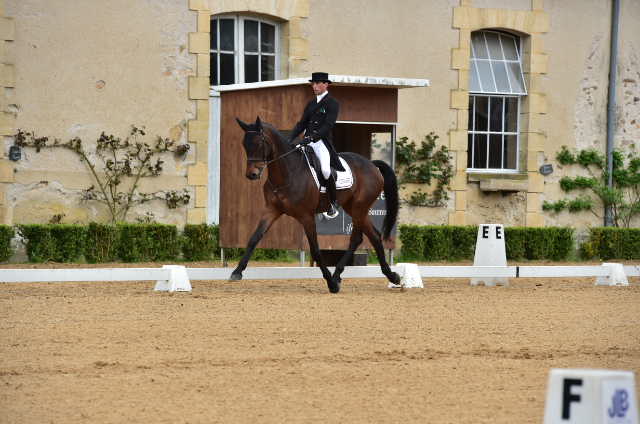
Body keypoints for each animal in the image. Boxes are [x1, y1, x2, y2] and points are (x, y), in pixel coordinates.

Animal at [230, 117, 400, 294]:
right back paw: (384, 276)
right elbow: (254, 238)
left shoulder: (306, 216)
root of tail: (372, 164)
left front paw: (330, 284)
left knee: (361, 238)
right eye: (244, 144)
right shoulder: (271, 210)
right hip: (354, 208)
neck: (287, 173)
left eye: (259, 143)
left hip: (359, 208)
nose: (252, 174)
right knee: (371, 236)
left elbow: (316, 250)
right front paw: (237, 272)